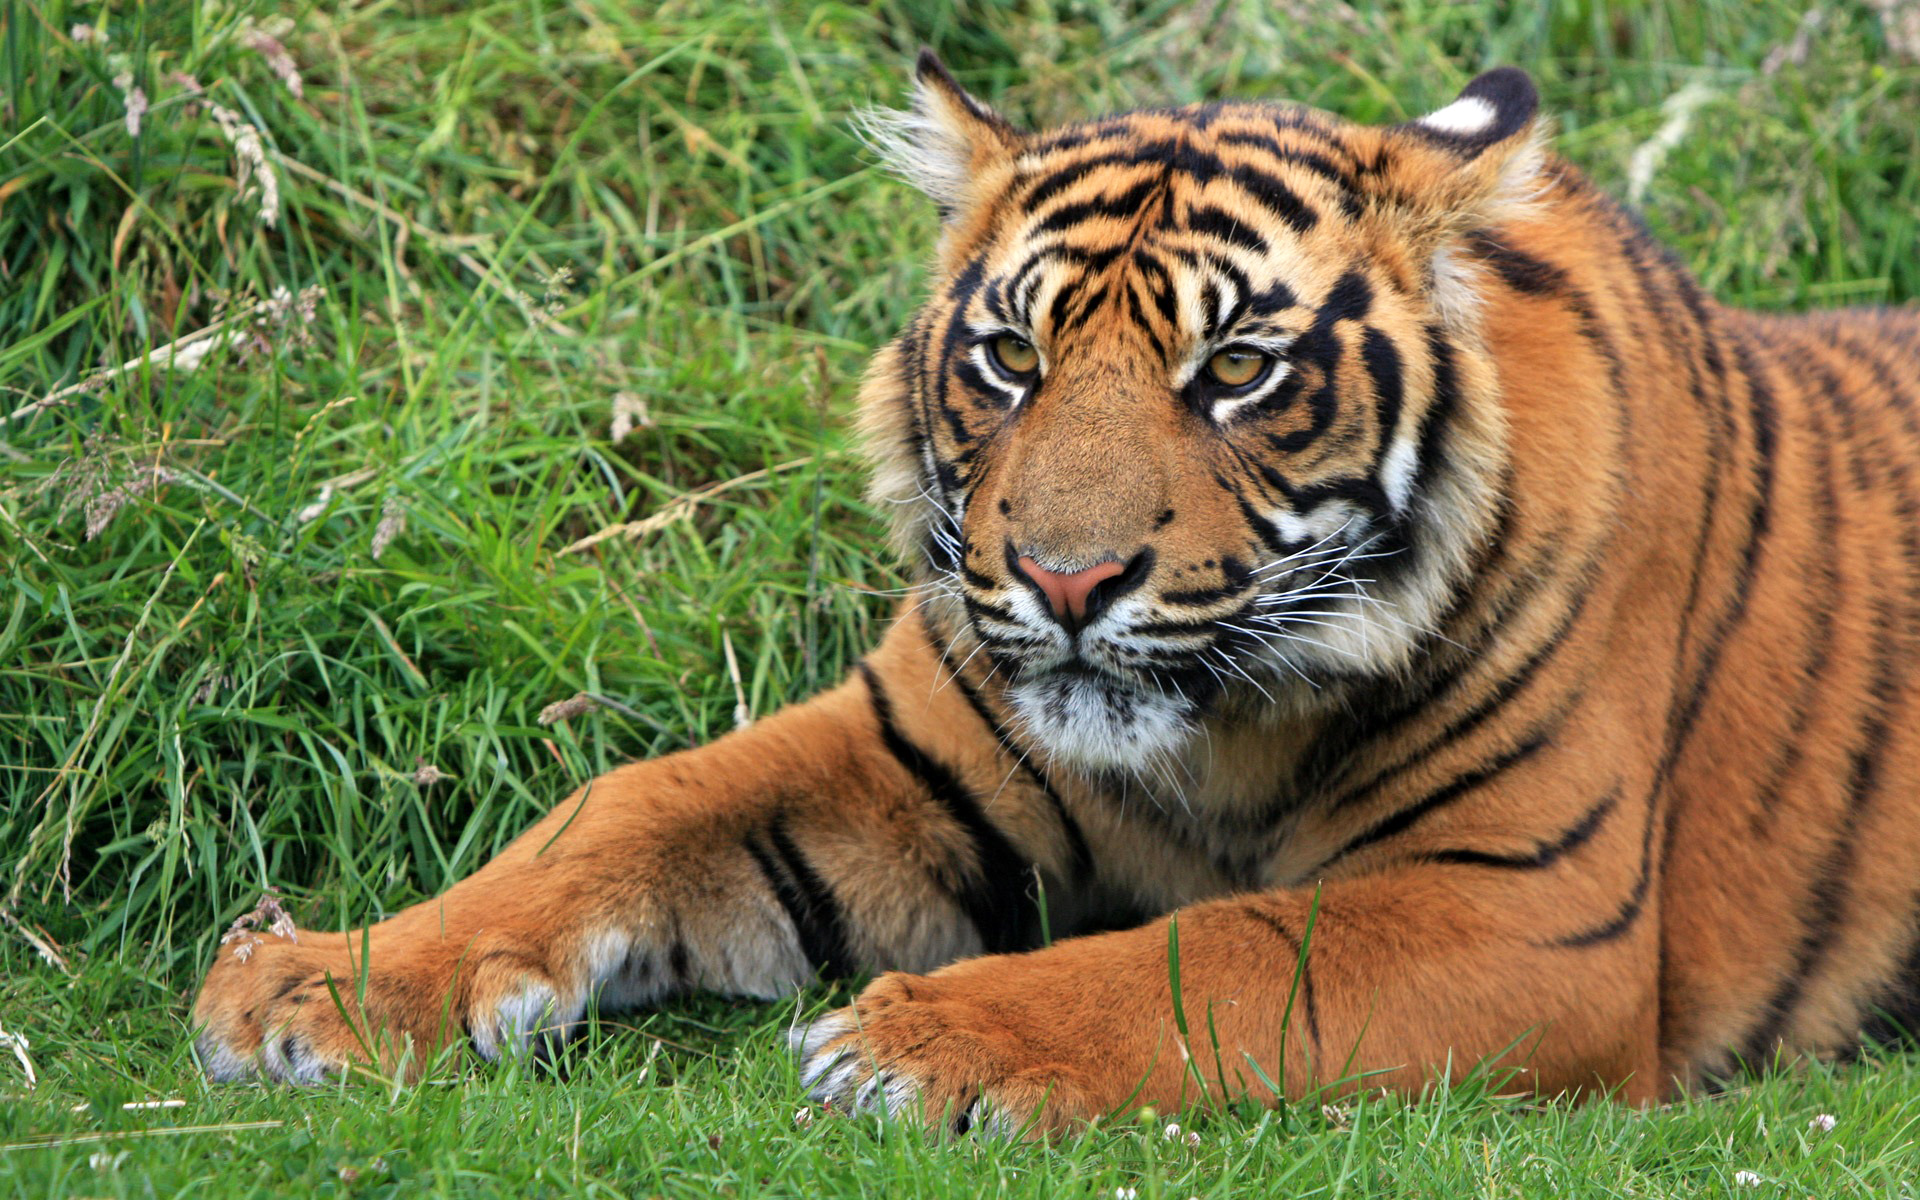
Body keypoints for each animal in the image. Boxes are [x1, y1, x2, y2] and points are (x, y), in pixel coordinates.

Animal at [191, 49, 1920, 1128]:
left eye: (1236, 370)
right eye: (1012, 356)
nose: (1067, 578)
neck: (1220, 738)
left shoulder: (1529, 908)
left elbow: (1220, 954)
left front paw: (919, 1040)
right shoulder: (899, 749)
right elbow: (620, 809)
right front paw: (313, 983)